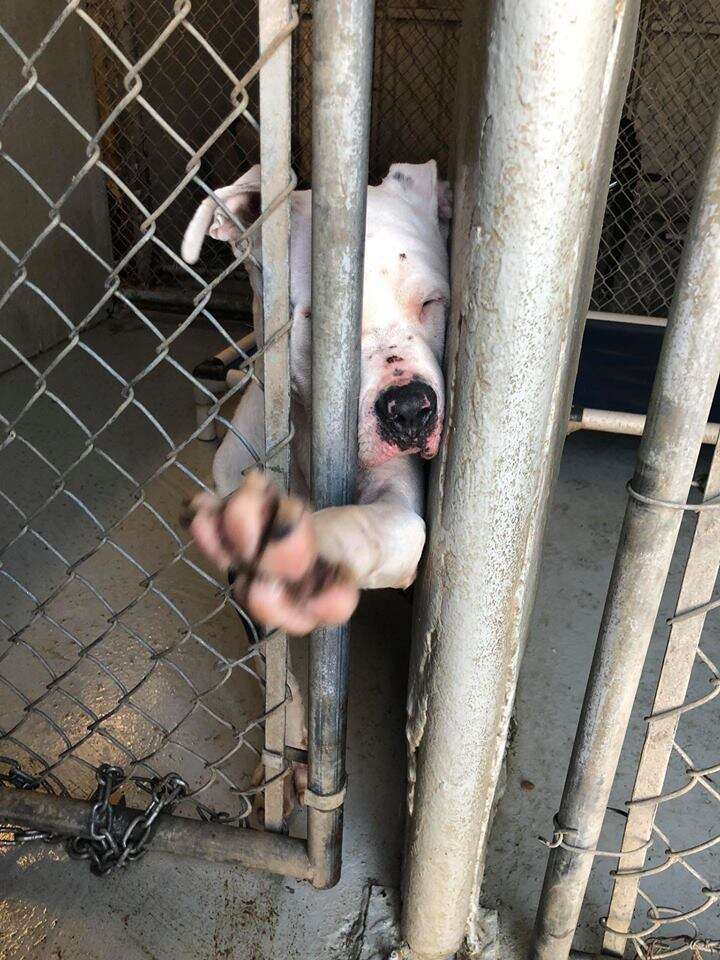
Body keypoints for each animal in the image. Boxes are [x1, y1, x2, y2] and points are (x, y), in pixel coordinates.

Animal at [180, 163, 450, 816]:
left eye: (431, 302)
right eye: (316, 322)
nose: (411, 409)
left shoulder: (399, 505)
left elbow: (383, 526)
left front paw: (309, 543)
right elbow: (279, 679)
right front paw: (288, 758)